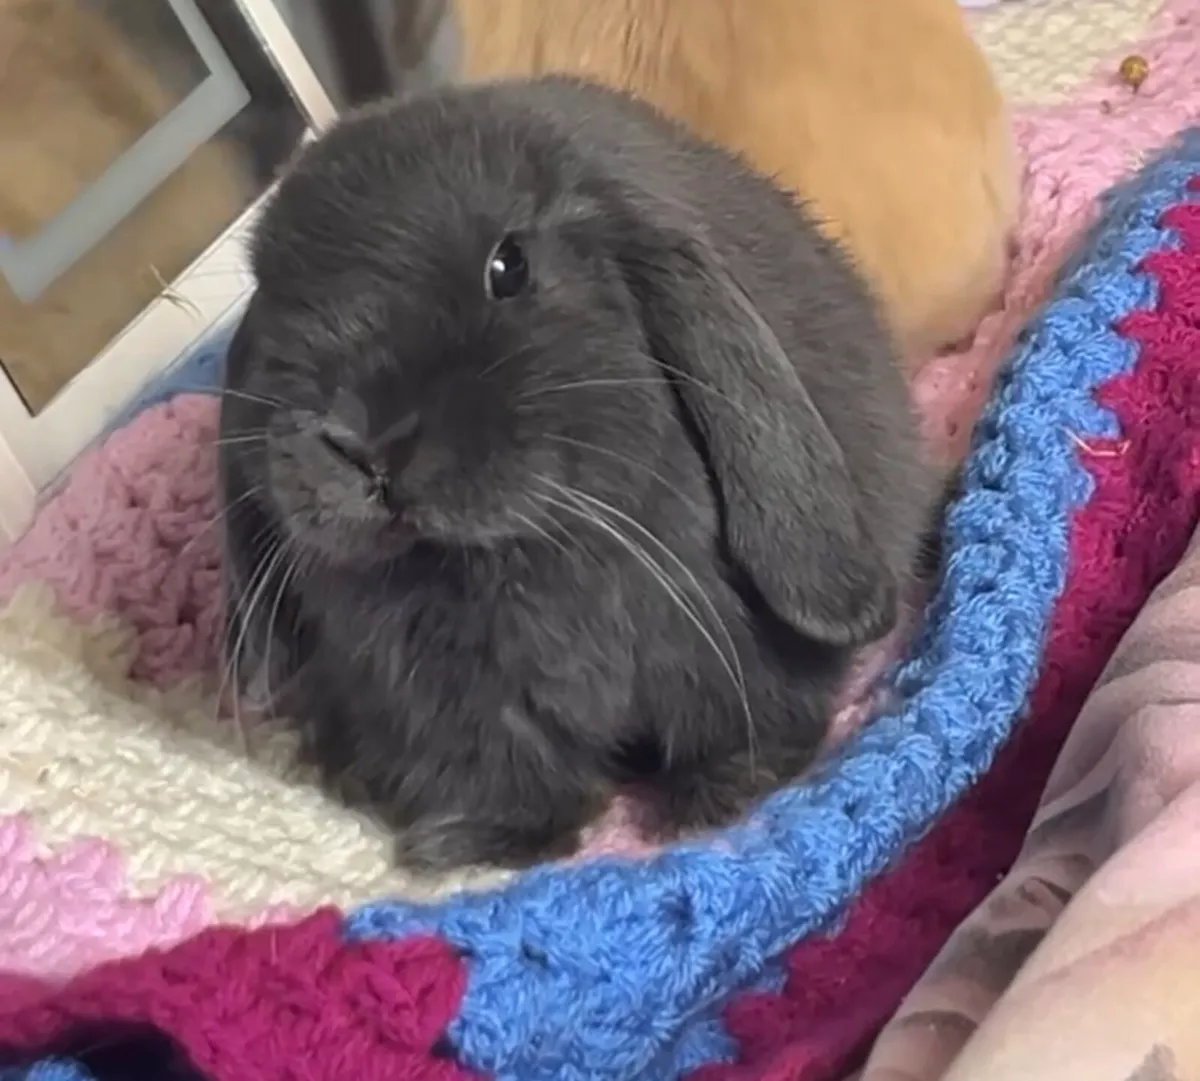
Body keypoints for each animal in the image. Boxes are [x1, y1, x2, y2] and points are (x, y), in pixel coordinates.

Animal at [218, 75, 940, 873]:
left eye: (509, 267)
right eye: (274, 304)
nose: (361, 445)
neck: (508, 556)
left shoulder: (719, 652)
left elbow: (739, 728)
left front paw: (718, 800)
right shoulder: (449, 711)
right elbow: (506, 776)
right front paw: (485, 845)